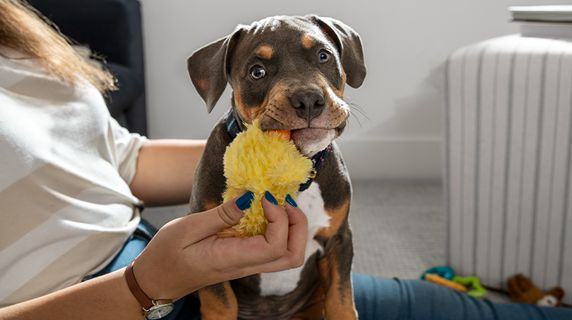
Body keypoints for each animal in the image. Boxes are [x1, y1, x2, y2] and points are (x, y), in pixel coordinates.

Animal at [188, 15, 366, 320]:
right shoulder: (207, 252)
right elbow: (220, 302)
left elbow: (341, 300)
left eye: (323, 56)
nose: (308, 99)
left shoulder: (339, 241)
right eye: (257, 72)